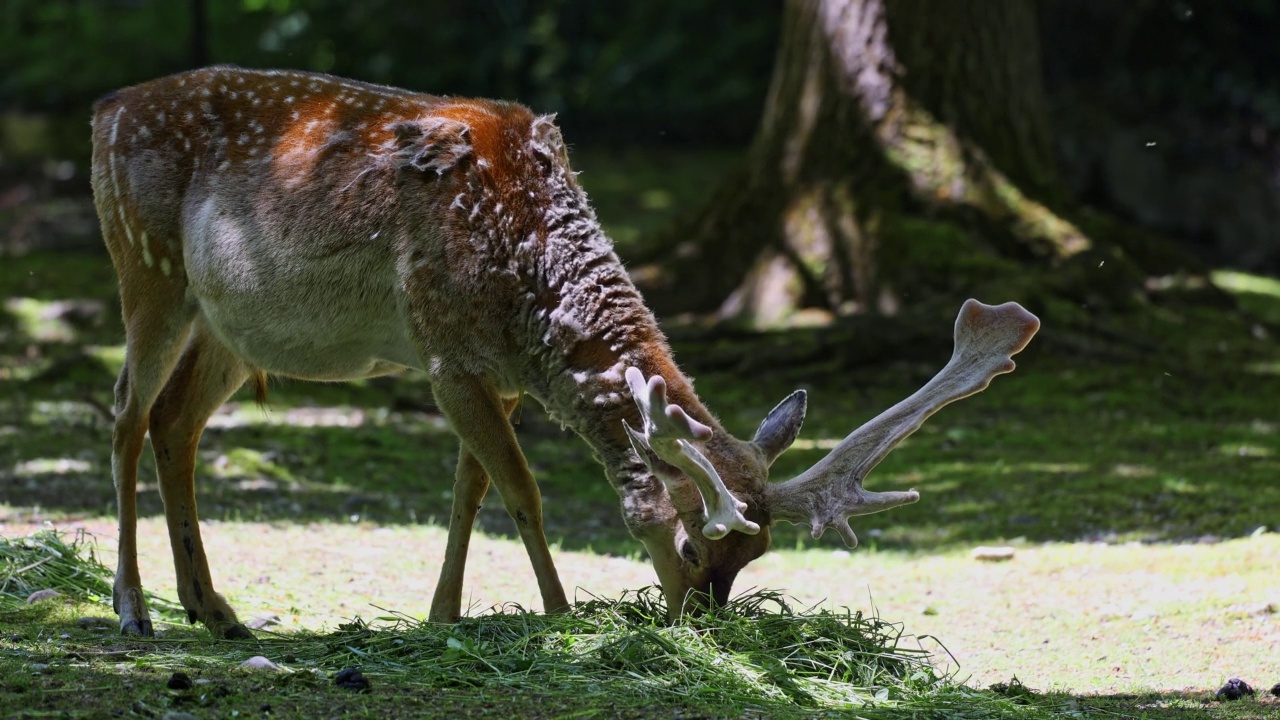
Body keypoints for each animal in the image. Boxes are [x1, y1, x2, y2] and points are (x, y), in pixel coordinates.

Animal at [87, 65, 1039, 632]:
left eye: (758, 555)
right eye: (692, 548)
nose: (702, 621)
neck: (535, 290)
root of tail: (104, 108)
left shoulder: (504, 372)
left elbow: (471, 491)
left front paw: (443, 614)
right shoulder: (444, 350)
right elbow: (524, 491)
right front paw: (559, 611)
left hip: (228, 325)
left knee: (176, 424)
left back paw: (213, 608)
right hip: (146, 265)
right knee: (127, 411)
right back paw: (134, 608)